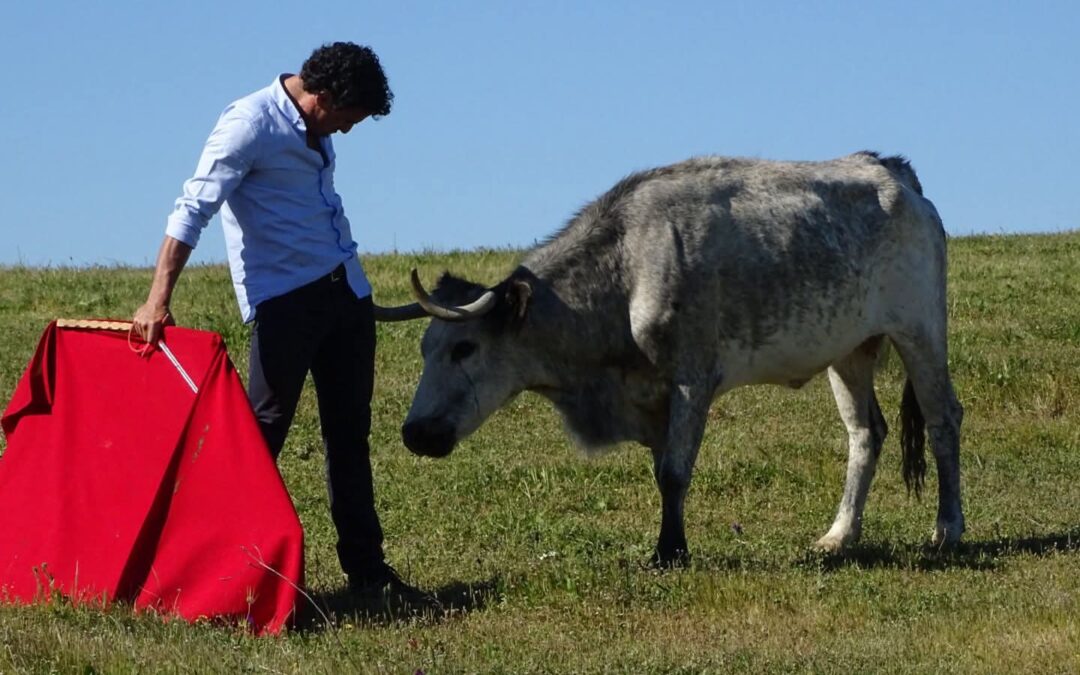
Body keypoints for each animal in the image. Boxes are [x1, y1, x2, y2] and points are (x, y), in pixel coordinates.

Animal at [374, 151, 964, 566]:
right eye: (425, 347)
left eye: (465, 347)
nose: (415, 432)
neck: (624, 271)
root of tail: (889, 169)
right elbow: (663, 471)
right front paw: (671, 543)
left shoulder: (692, 379)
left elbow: (674, 472)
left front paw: (669, 552)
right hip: (848, 350)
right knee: (865, 433)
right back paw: (840, 535)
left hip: (921, 332)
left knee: (943, 422)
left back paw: (948, 528)